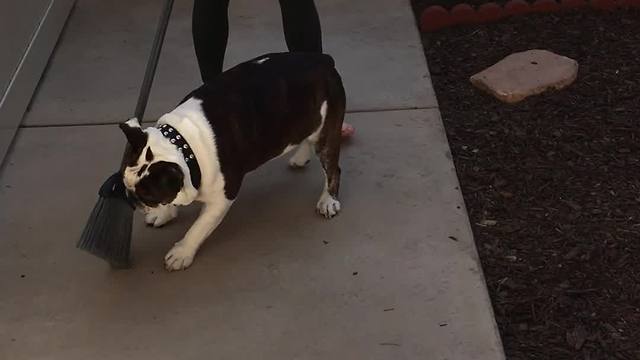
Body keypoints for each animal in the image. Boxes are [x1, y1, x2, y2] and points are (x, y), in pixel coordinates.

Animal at [115, 52, 344, 270]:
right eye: (125, 183)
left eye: (149, 196)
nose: (131, 199)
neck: (182, 144)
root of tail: (322, 60)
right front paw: (164, 214)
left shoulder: (221, 199)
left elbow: (198, 228)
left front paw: (181, 253)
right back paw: (300, 157)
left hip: (327, 132)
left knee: (332, 168)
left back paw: (327, 200)